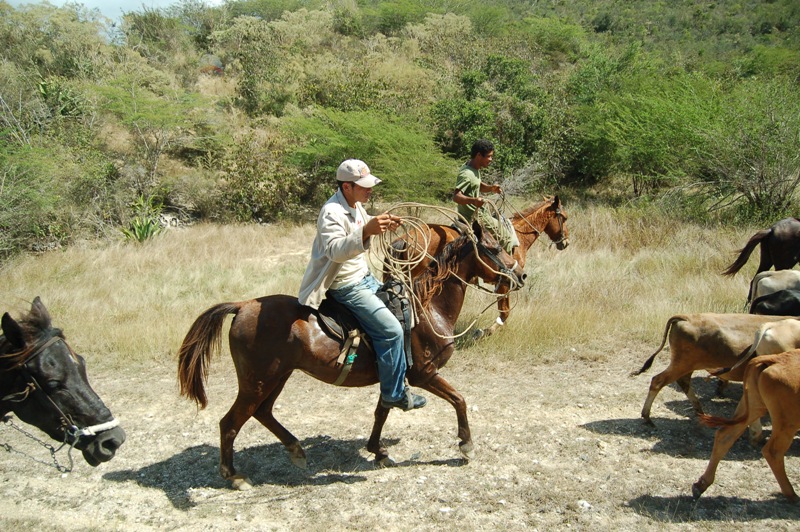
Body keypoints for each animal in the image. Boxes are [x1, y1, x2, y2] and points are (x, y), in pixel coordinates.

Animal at [177, 221, 524, 490]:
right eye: (493, 248)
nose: (520, 276)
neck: (427, 307)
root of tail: (243, 306)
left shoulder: (394, 375)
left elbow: (383, 410)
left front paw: (378, 450)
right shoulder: (424, 374)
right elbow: (458, 399)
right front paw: (466, 445)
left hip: (277, 376)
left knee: (263, 412)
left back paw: (296, 450)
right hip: (257, 381)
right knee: (230, 422)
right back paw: (234, 476)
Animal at [388, 195, 568, 336]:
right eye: (564, 218)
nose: (565, 242)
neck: (519, 237)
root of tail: (405, 238)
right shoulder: (505, 283)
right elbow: (505, 312)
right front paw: (484, 332)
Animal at [632, 314, 792, 426]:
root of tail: (686, 317)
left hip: (687, 365)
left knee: (683, 382)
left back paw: (700, 411)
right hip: (682, 364)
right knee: (658, 381)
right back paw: (647, 417)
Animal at [692, 352, 800, 500]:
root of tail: (773, 359)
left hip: (753, 407)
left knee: (725, 436)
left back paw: (701, 485)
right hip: (787, 423)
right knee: (773, 452)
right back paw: (792, 495)